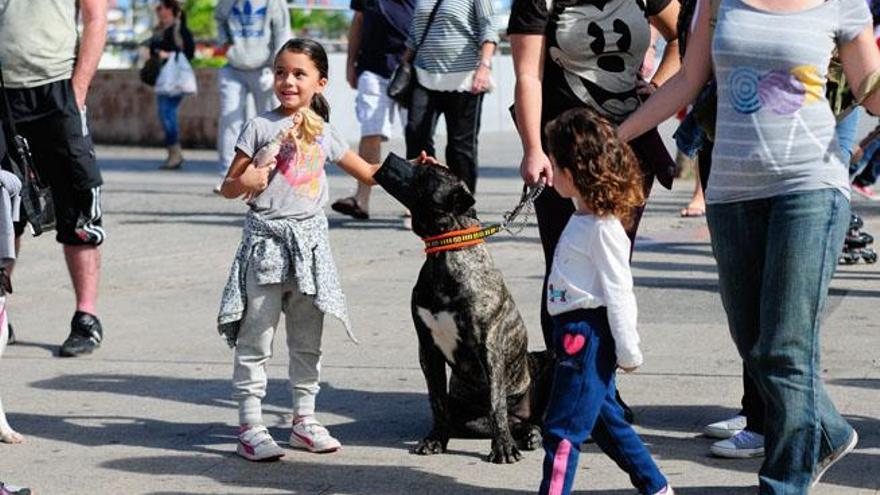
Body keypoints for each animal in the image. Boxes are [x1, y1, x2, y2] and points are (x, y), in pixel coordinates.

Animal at [372, 154, 552, 464]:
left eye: (426, 172)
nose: (392, 157)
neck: (445, 250)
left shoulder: (488, 346)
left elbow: (496, 403)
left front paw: (502, 448)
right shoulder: (428, 348)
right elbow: (437, 401)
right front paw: (435, 439)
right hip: (470, 419)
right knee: (513, 421)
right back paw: (529, 432)